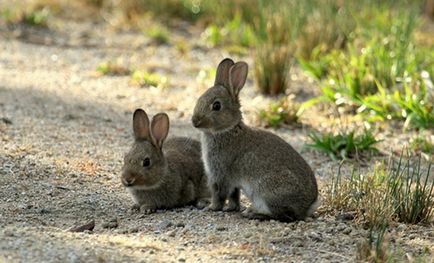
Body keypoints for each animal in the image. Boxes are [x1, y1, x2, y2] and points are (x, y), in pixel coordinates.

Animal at [192, 58, 320, 222]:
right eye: (199, 98)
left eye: (216, 106)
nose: (194, 122)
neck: (227, 129)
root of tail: (308, 206)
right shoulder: (232, 182)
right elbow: (234, 196)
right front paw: (230, 208)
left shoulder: (219, 174)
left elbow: (219, 194)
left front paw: (211, 208)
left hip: (267, 191)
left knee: (284, 215)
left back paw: (253, 213)